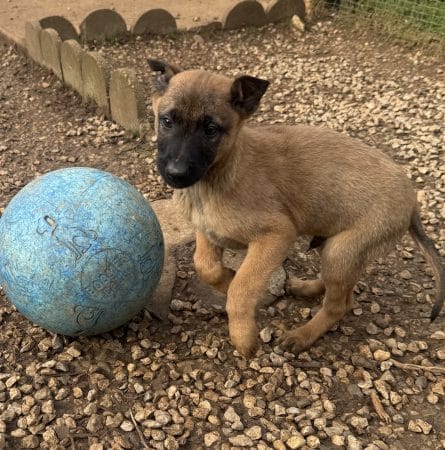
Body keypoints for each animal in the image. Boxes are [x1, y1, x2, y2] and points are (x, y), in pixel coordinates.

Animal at [147, 59, 442, 356]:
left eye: (211, 130)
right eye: (167, 121)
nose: (176, 173)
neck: (220, 175)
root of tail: (412, 201)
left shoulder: (277, 235)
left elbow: (243, 286)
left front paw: (243, 336)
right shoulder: (207, 232)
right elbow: (205, 266)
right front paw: (227, 279)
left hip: (343, 249)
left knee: (339, 305)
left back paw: (301, 335)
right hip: (337, 247)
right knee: (344, 290)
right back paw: (307, 288)